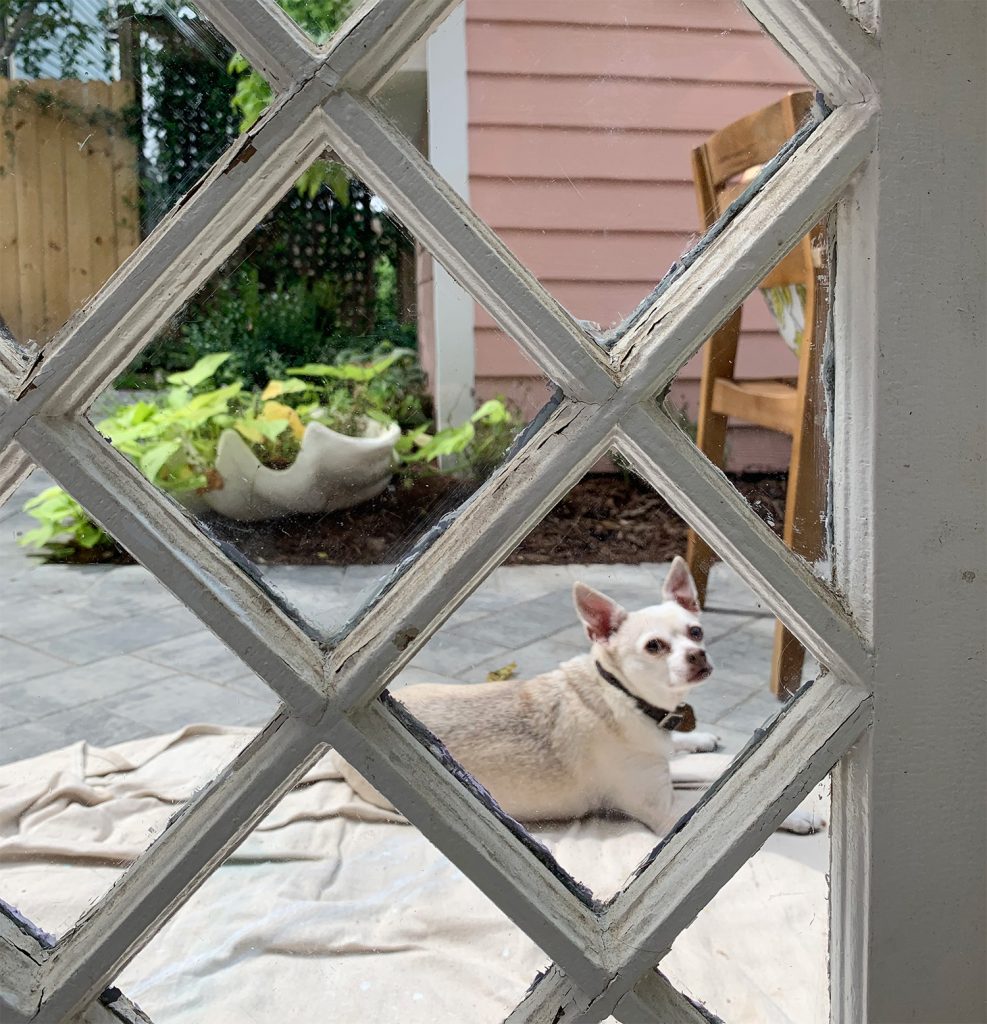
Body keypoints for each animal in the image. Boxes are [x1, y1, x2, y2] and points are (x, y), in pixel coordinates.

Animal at [339, 557, 823, 835]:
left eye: (696, 632)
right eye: (654, 647)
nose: (698, 655)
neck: (623, 697)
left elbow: (713, 767)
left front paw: (700, 743)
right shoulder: (666, 809)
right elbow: (716, 799)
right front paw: (797, 815)